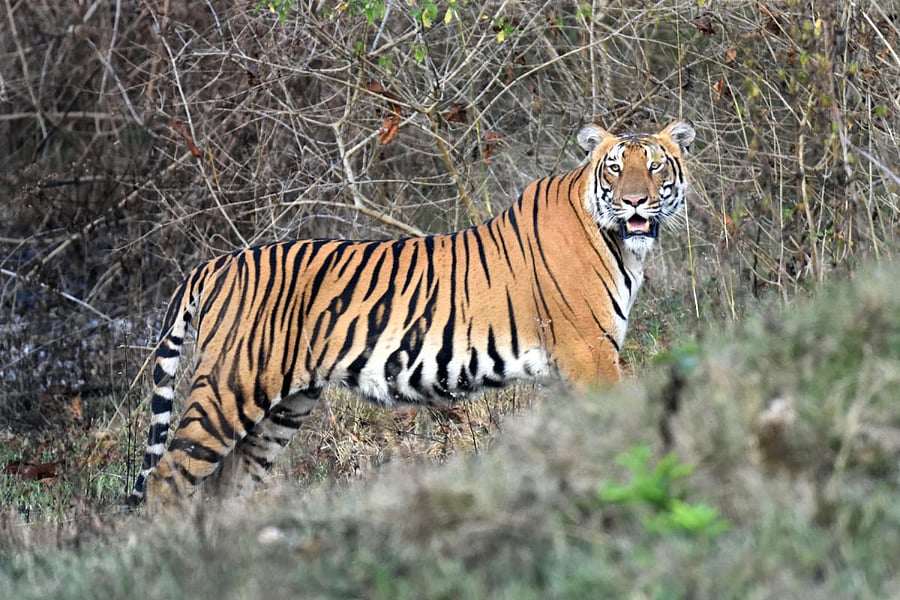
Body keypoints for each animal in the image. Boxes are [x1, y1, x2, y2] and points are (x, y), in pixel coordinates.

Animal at [125, 119, 695, 508]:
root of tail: (216, 263)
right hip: (229, 389)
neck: (622, 244)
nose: (635, 201)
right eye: (616, 167)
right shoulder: (588, 353)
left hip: (282, 409)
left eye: (656, 165)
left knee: (227, 485)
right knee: (167, 479)